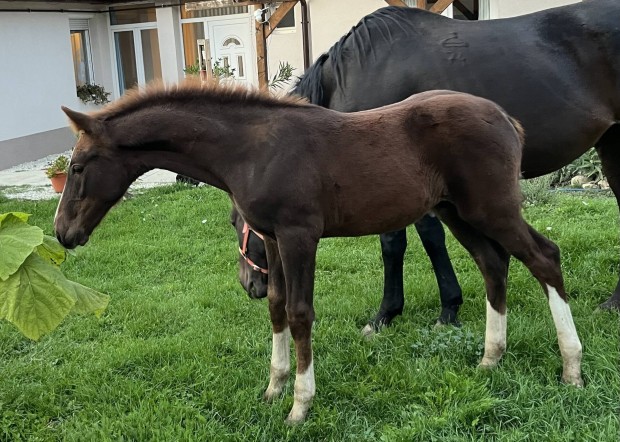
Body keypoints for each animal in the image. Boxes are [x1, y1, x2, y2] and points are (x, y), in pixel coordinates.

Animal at [53, 81, 580, 424]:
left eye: (78, 167)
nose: (62, 233)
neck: (251, 149)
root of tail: (506, 118)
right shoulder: (272, 238)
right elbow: (277, 307)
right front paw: (273, 387)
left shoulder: (298, 235)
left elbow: (301, 313)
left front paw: (300, 405)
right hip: (457, 212)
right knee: (494, 264)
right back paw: (491, 358)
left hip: (492, 208)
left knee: (544, 257)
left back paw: (571, 368)